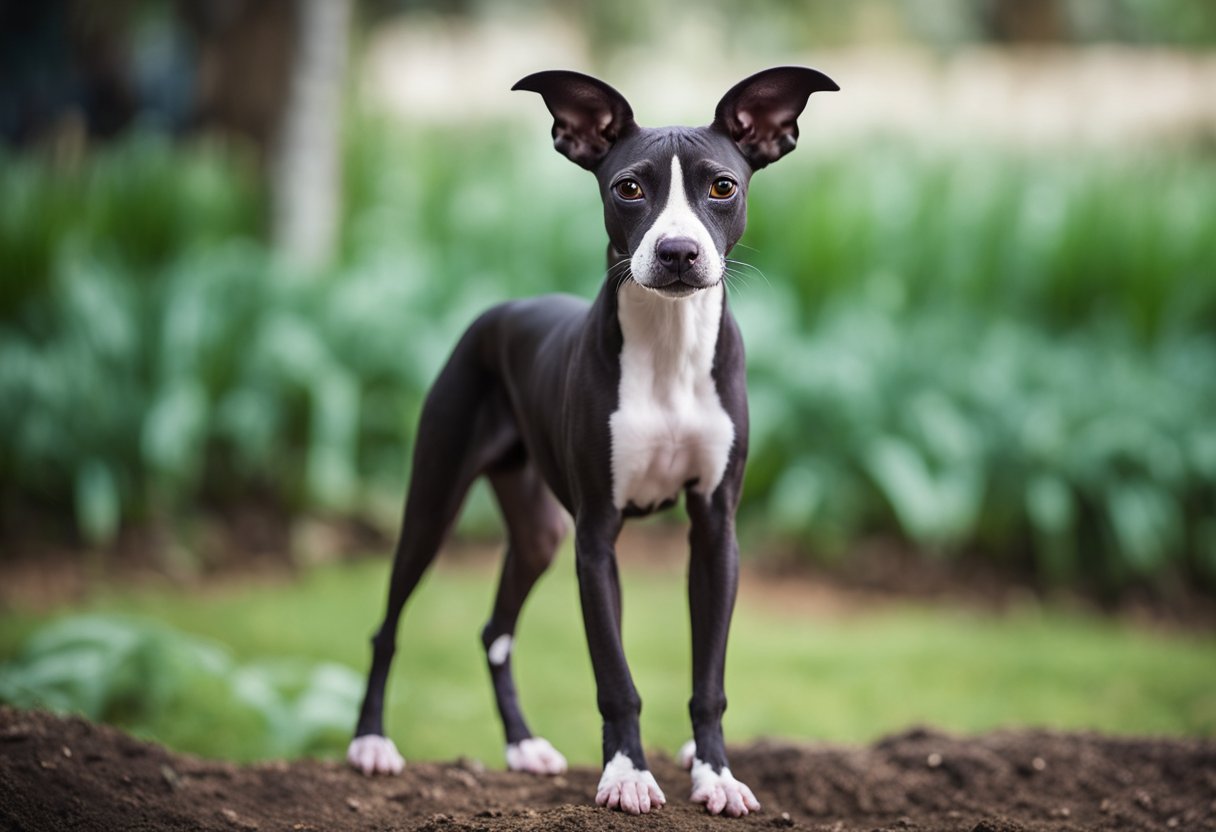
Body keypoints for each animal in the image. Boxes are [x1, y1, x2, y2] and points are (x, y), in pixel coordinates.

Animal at [347, 66, 831, 817]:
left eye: (723, 186)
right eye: (628, 187)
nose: (678, 252)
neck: (667, 351)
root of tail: (497, 313)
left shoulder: (715, 530)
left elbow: (709, 679)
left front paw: (715, 775)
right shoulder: (596, 538)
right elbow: (615, 676)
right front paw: (627, 774)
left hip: (539, 532)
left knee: (495, 630)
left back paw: (523, 746)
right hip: (434, 501)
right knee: (389, 623)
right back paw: (371, 742)